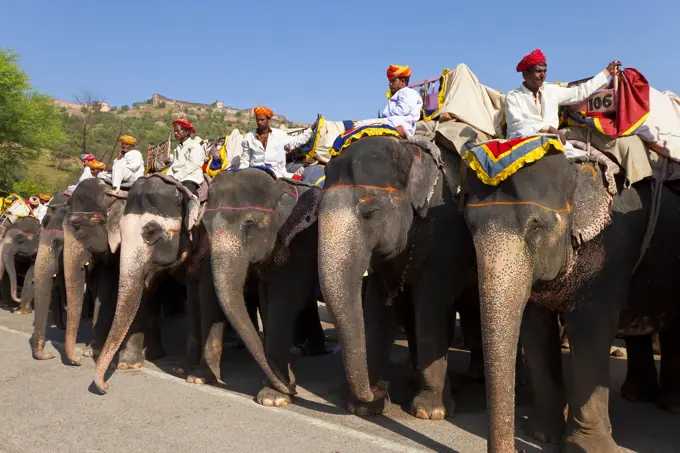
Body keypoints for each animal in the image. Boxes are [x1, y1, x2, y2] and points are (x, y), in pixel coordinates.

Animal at [202, 167, 326, 406]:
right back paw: (313, 350)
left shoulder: (299, 242)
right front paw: (275, 385)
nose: (293, 388)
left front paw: (274, 397)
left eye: (249, 223)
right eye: (203, 224)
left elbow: (285, 298)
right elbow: (266, 299)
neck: (279, 186)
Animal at [318, 136, 478, 418]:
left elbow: (431, 308)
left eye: (369, 212)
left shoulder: (447, 240)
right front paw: (363, 407)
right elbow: (378, 309)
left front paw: (429, 412)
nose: (382, 388)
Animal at [464, 152, 680, 452]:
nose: (516, 448)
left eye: (536, 228)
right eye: (469, 226)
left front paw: (589, 447)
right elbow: (536, 329)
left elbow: (590, 329)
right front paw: (542, 435)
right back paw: (639, 395)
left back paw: (669, 406)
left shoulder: (608, 252)